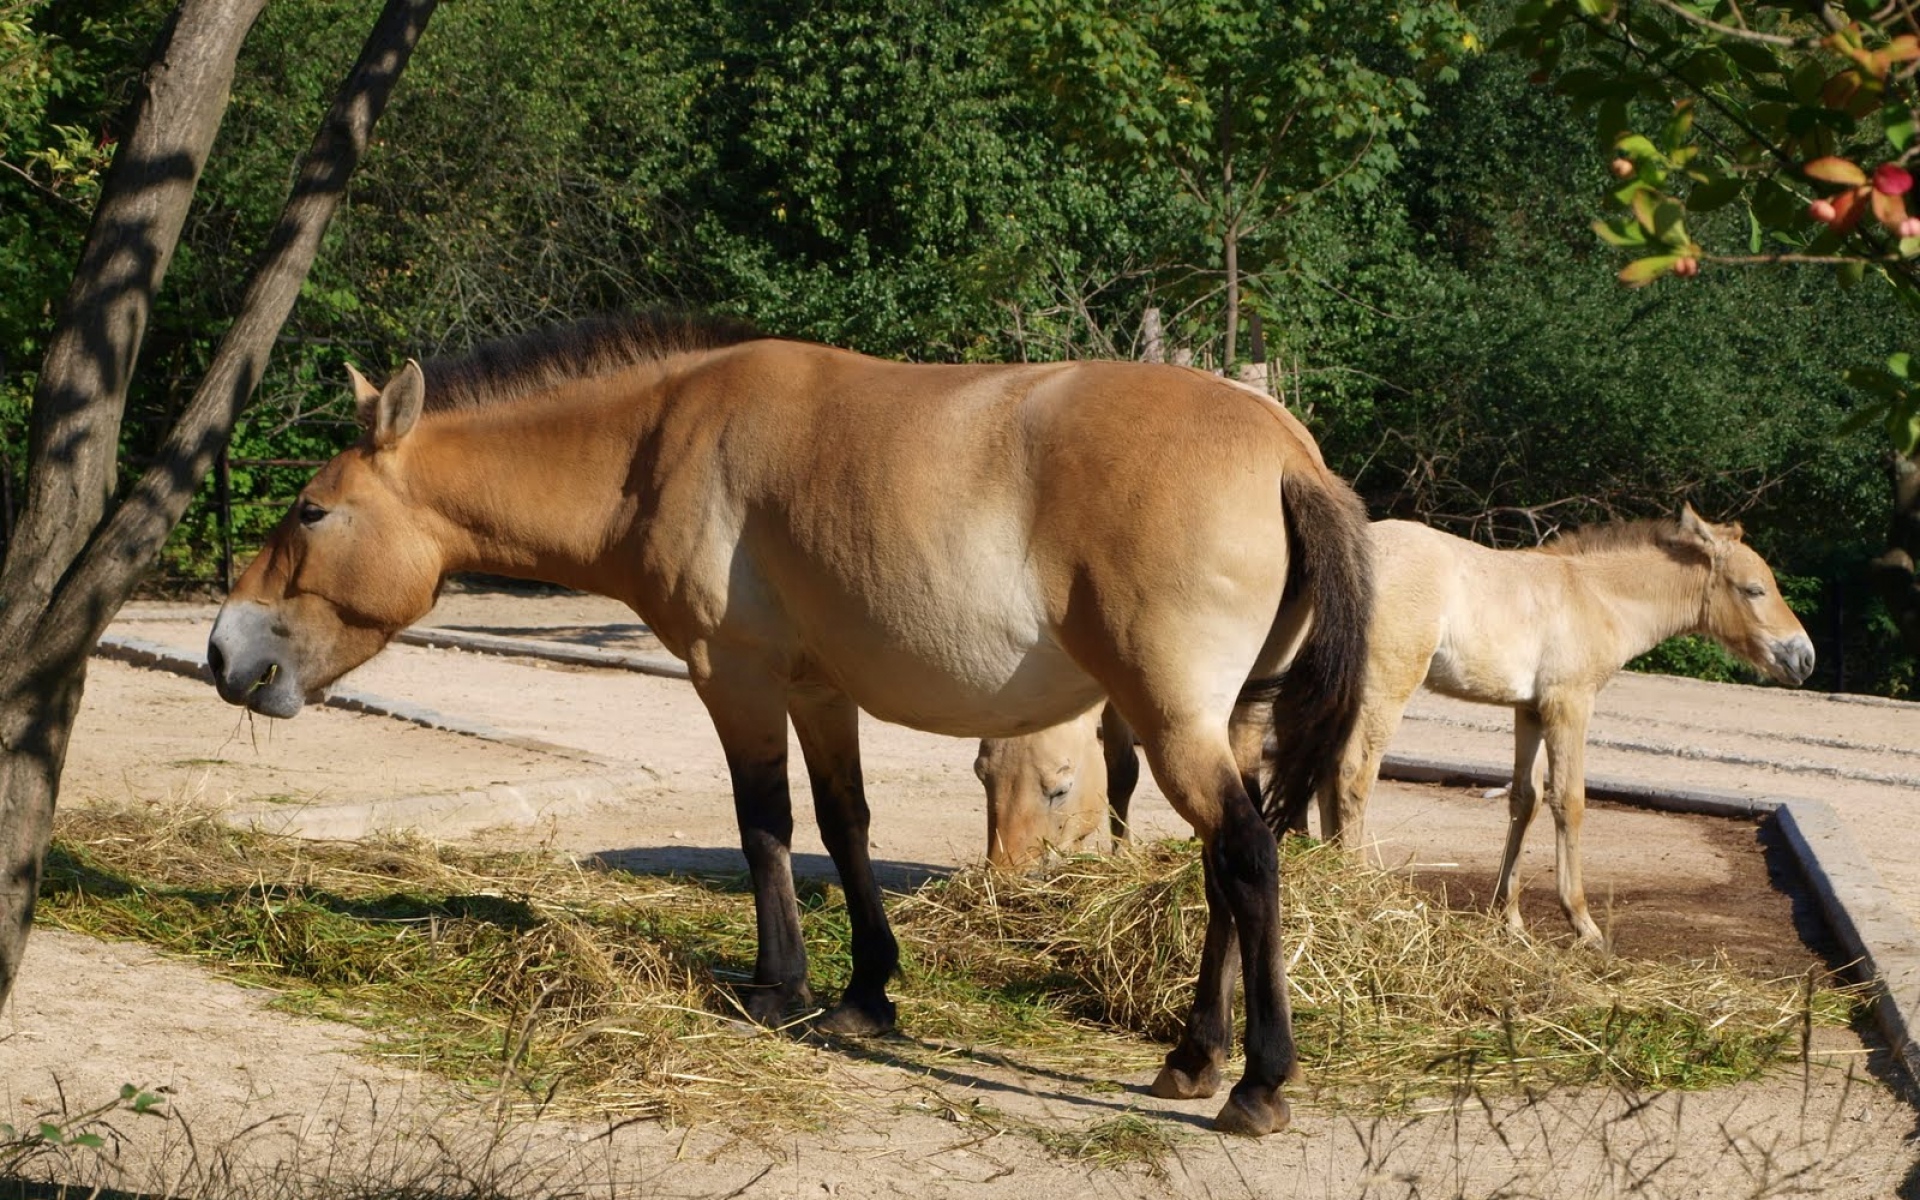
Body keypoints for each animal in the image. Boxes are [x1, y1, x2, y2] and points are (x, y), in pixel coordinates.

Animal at [204, 314, 1374, 1136]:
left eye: (310, 511)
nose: (222, 652)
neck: (652, 445)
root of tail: (1287, 452)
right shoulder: (820, 691)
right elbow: (845, 826)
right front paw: (865, 994)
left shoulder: (737, 679)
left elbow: (762, 823)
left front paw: (778, 989)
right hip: (1221, 723)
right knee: (1220, 870)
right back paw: (1194, 1057)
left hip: (1170, 718)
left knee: (1249, 857)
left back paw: (1257, 1083)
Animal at [980, 511, 1814, 947]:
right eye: (1754, 589)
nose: (1803, 658)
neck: (1589, 595)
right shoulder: (1570, 703)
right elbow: (1571, 803)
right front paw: (1582, 925)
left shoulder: (1527, 708)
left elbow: (1522, 800)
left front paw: (1510, 918)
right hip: (1384, 685)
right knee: (1349, 775)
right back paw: (1351, 885)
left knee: (1309, 773)